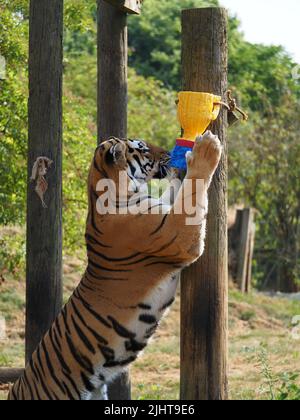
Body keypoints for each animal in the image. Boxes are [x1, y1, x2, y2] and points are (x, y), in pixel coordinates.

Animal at [8, 130, 221, 400]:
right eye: (142, 148)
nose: (167, 153)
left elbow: (177, 191)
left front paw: (181, 166)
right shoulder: (179, 233)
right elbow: (193, 190)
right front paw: (206, 149)